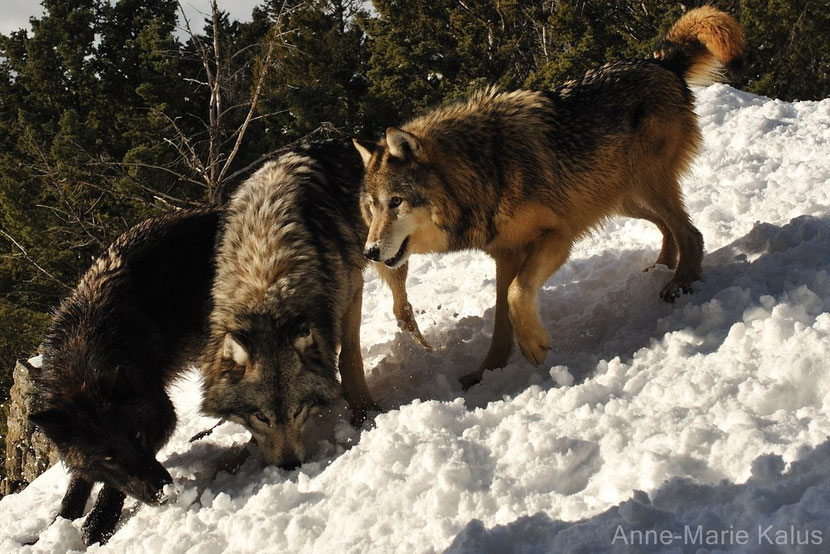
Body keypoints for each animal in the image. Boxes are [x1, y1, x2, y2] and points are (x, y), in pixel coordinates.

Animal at [199, 136, 426, 468]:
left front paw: (365, 414)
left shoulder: (350, 292)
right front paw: (242, 455)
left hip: (384, 253)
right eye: (261, 417)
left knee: (401, 306)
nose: (289, 465)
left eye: (298, 410)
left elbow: (349, 358)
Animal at [354, 6, 744, 386]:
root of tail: (659, 62)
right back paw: (662, 267)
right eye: (372, 208)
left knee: (691, 232)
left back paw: (680, 281)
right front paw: (486, 372)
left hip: (644, 187)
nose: (369, 252)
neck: (482, 168)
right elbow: (501, 319)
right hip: (621, 201)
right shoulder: (506, 256)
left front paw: (535, 345)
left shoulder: (557, 236)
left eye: (396, 202)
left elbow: (516, 295)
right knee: (669, 228)